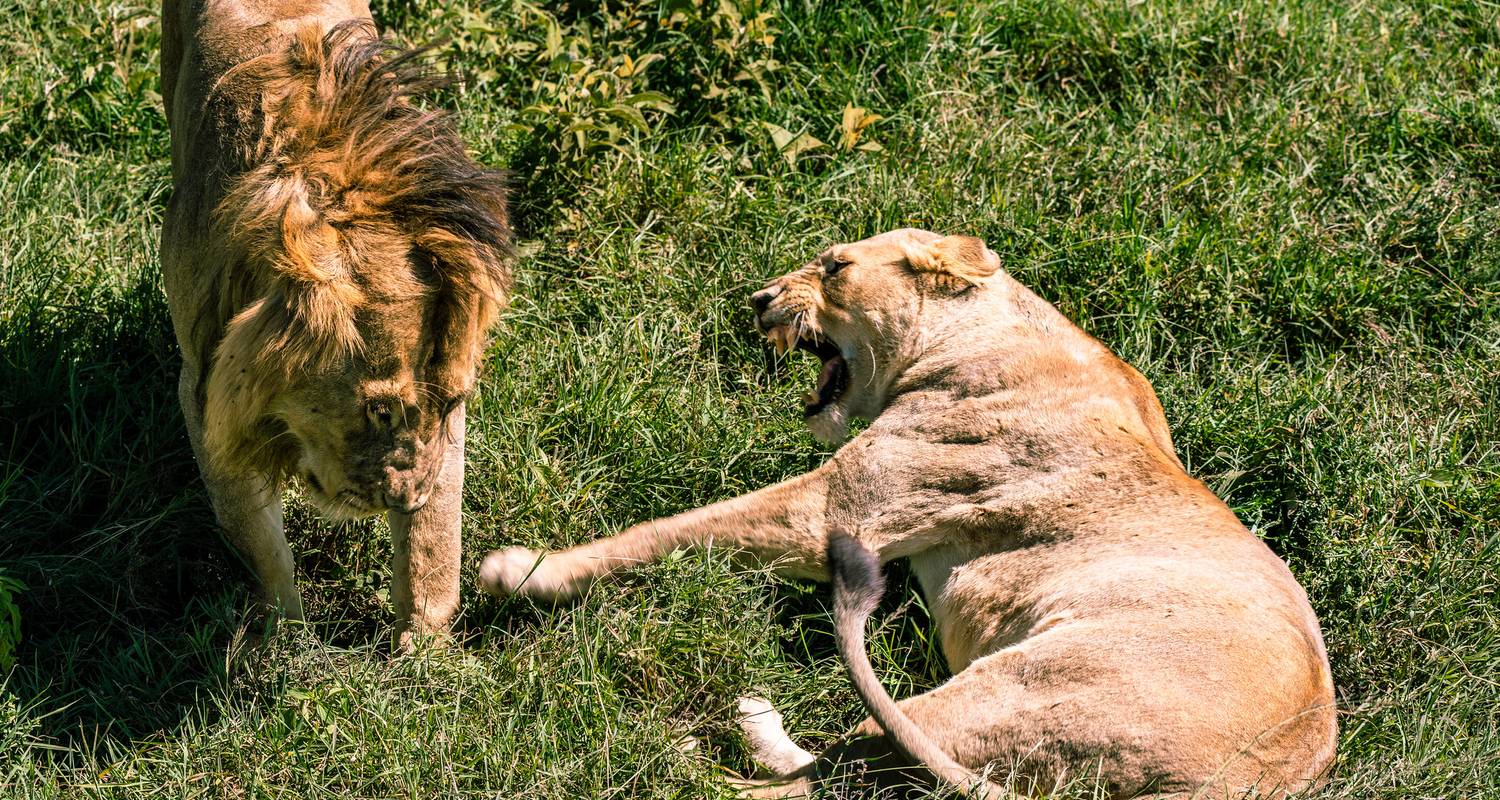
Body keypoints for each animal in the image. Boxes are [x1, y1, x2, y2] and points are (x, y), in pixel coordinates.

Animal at [159, 0, 510, 645]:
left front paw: (424, 651)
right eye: (380, 409)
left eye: (453, 402)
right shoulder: (204, 391)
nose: (407, 499)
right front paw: (287, 642)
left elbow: (434, 545)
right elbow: (258, 541)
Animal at [483, 228, 1338, 792]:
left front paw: (524, 571)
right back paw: (754, 722)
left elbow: (669, 530)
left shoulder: (837, 505)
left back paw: (693, 759)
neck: (987, 327)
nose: (757, 299)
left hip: (1015, 692)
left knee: (814, 782)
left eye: (833, 266)